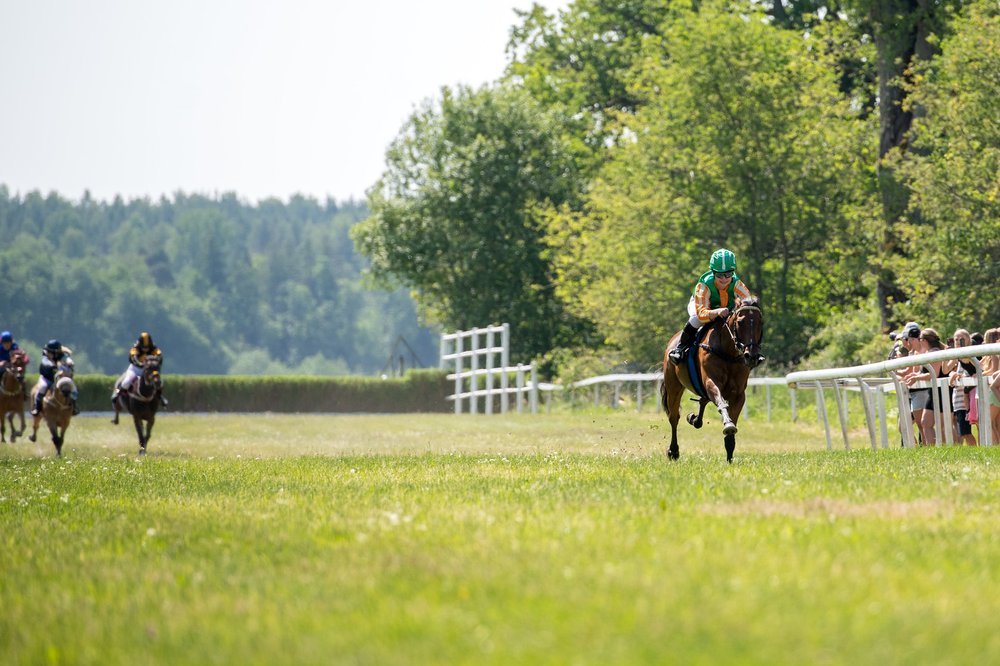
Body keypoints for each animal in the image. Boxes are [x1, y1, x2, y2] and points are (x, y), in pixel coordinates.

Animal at [660, 296, 760, 462]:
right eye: (740, 322)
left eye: (760, 322)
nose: (751, 356)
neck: (728, 353)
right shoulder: (711, 383)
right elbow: (721, 402)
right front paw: (728, 424)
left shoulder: (739, 394)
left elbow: (732, 421)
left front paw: (730, 456)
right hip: (674, 386)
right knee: (674, 417)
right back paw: (673, 451)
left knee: (702, 401)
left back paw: (695, 419)